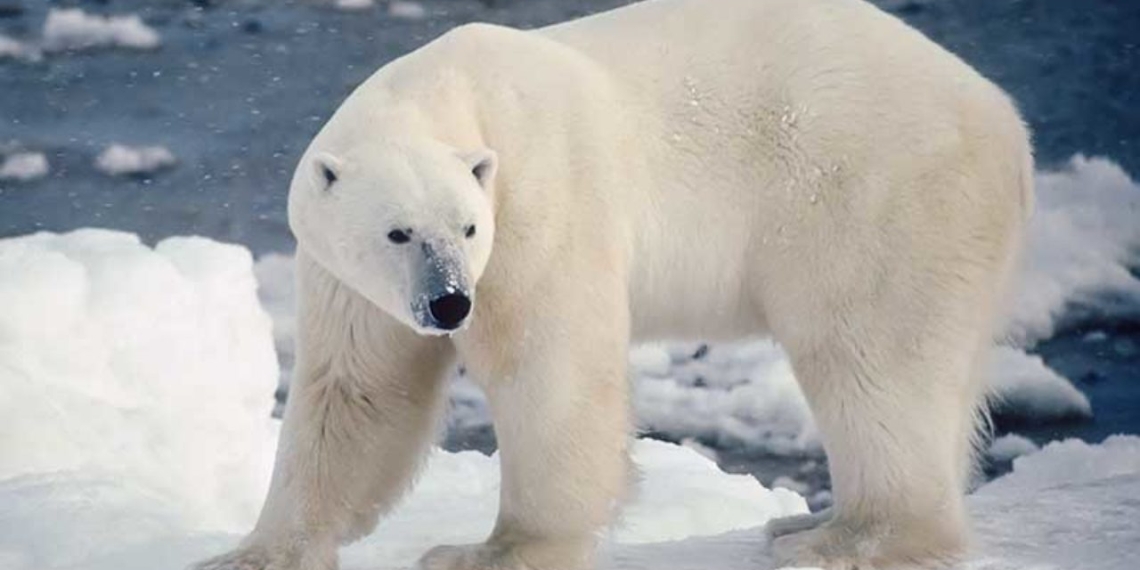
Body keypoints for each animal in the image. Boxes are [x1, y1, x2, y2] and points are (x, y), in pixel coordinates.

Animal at [193, 0, 1033, 568]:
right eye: (398, 232)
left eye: (467, 227)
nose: (450, 301)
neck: (453, 90)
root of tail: (1004, 120)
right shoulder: (346, 277)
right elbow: (359, 392)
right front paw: (255, 551)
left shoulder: (540, 201)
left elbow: (549, 366)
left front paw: (494, 550)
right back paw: (809, 524)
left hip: (870, 192)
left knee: (870, 357)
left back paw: (841, 535)